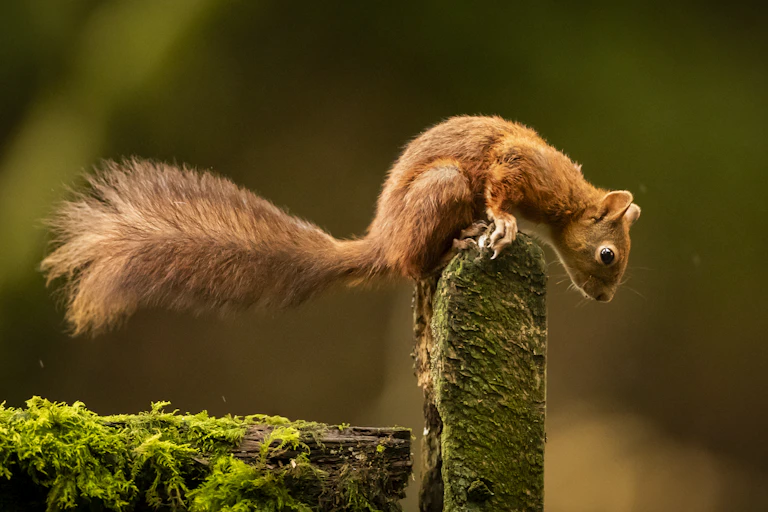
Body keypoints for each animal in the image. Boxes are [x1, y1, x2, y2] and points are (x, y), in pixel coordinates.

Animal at [41, 115, 640, 335]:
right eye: (608, 255)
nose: (605, 299)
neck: (567, 202)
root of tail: (380, 241)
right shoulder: (517, 165)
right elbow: (499, 189)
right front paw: (503, 223)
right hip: (443, 187)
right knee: (414, 263)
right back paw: (460, 239)